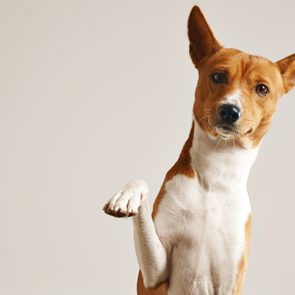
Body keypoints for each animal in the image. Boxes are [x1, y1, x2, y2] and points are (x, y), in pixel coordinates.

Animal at [102, 5, 295, 295]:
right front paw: (127, 196)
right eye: (218, 76)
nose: (230, 110)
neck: (217, 173)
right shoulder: (154, 275)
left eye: (262, 89)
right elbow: (140, 184)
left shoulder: (231, 279)